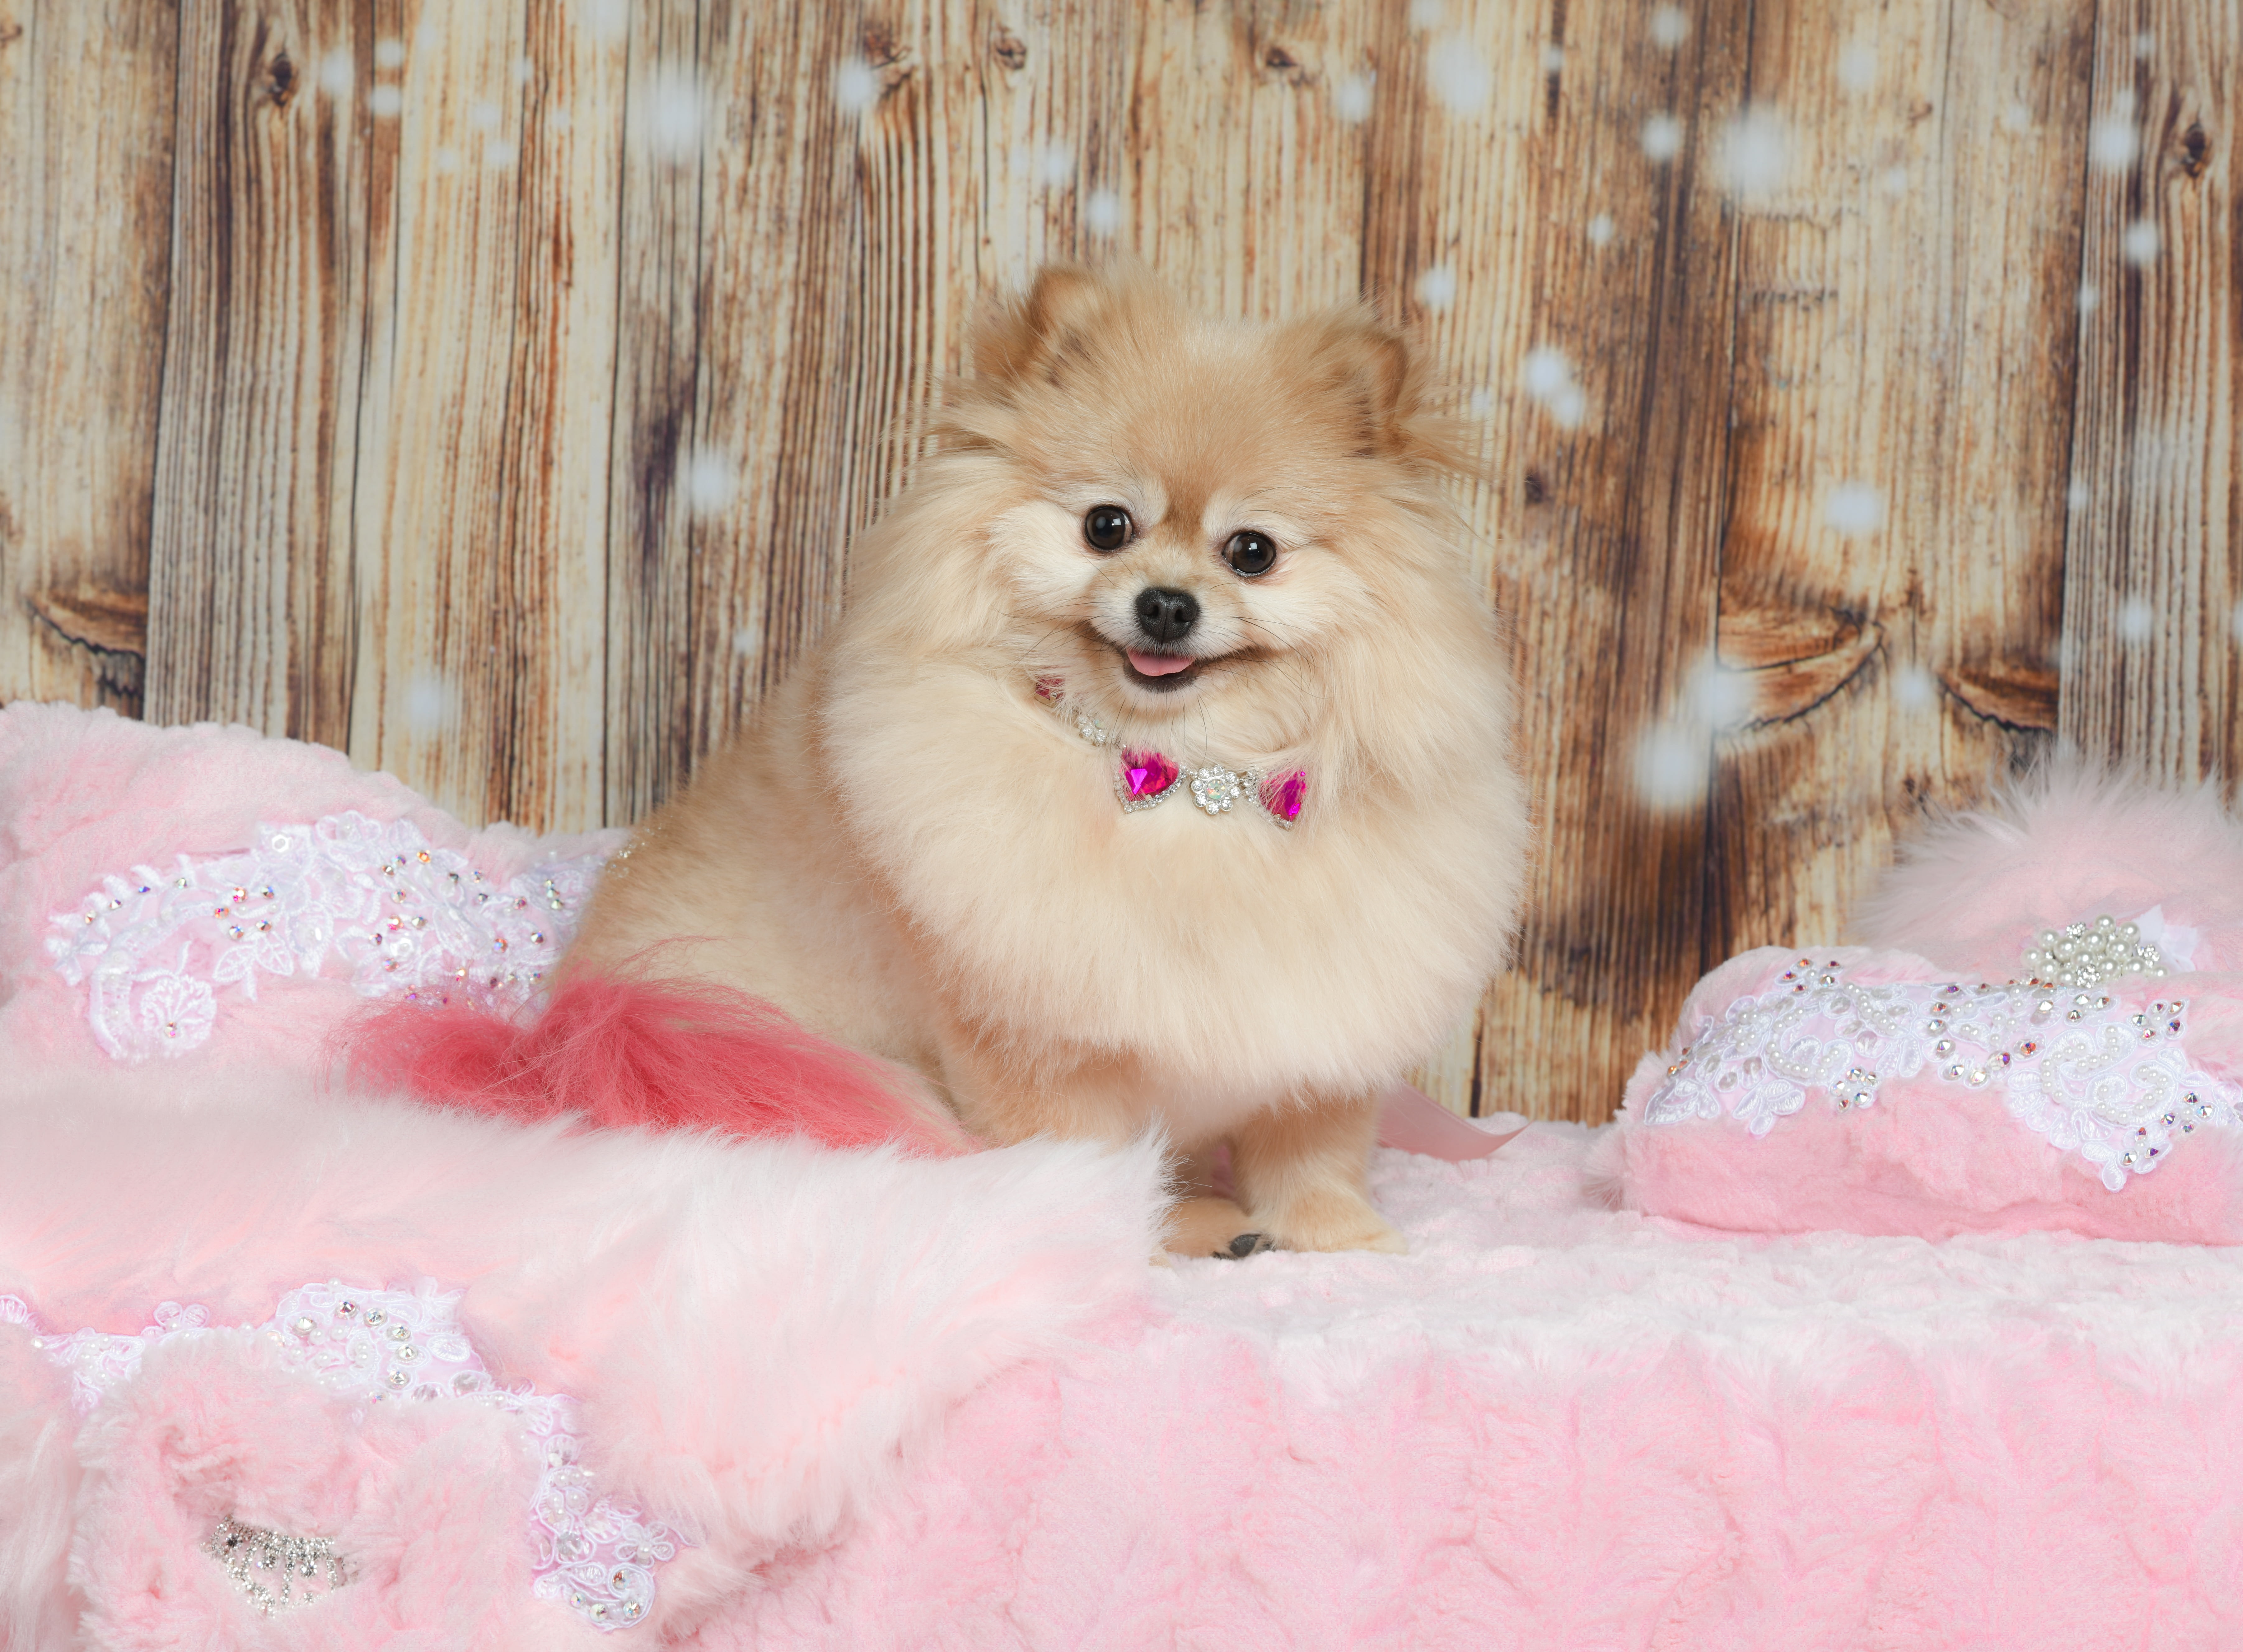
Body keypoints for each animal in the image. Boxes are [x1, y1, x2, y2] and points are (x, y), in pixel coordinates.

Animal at [562, 264, 1530, 1256]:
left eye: (1252, 551)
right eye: (1106, 525)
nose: (1166, 604)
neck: (1184, 777)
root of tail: (586, 1011)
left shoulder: (1323, 1025)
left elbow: (1312, 1148)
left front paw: (1341, 1236)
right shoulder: (1027, 1041)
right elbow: (1085, 1154)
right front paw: (1104, 1232)